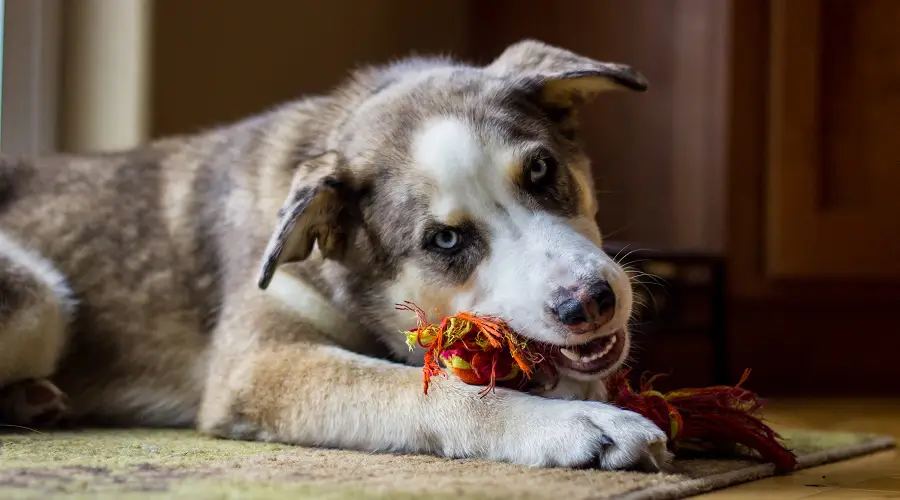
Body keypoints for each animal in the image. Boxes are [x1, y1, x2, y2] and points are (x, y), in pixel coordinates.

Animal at [0, 38, 668, 468]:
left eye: (540, 170)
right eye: (445, 240)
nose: (591, 302)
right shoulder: (259, 365)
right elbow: (424, 389)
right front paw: (576, 425)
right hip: (37, 297)